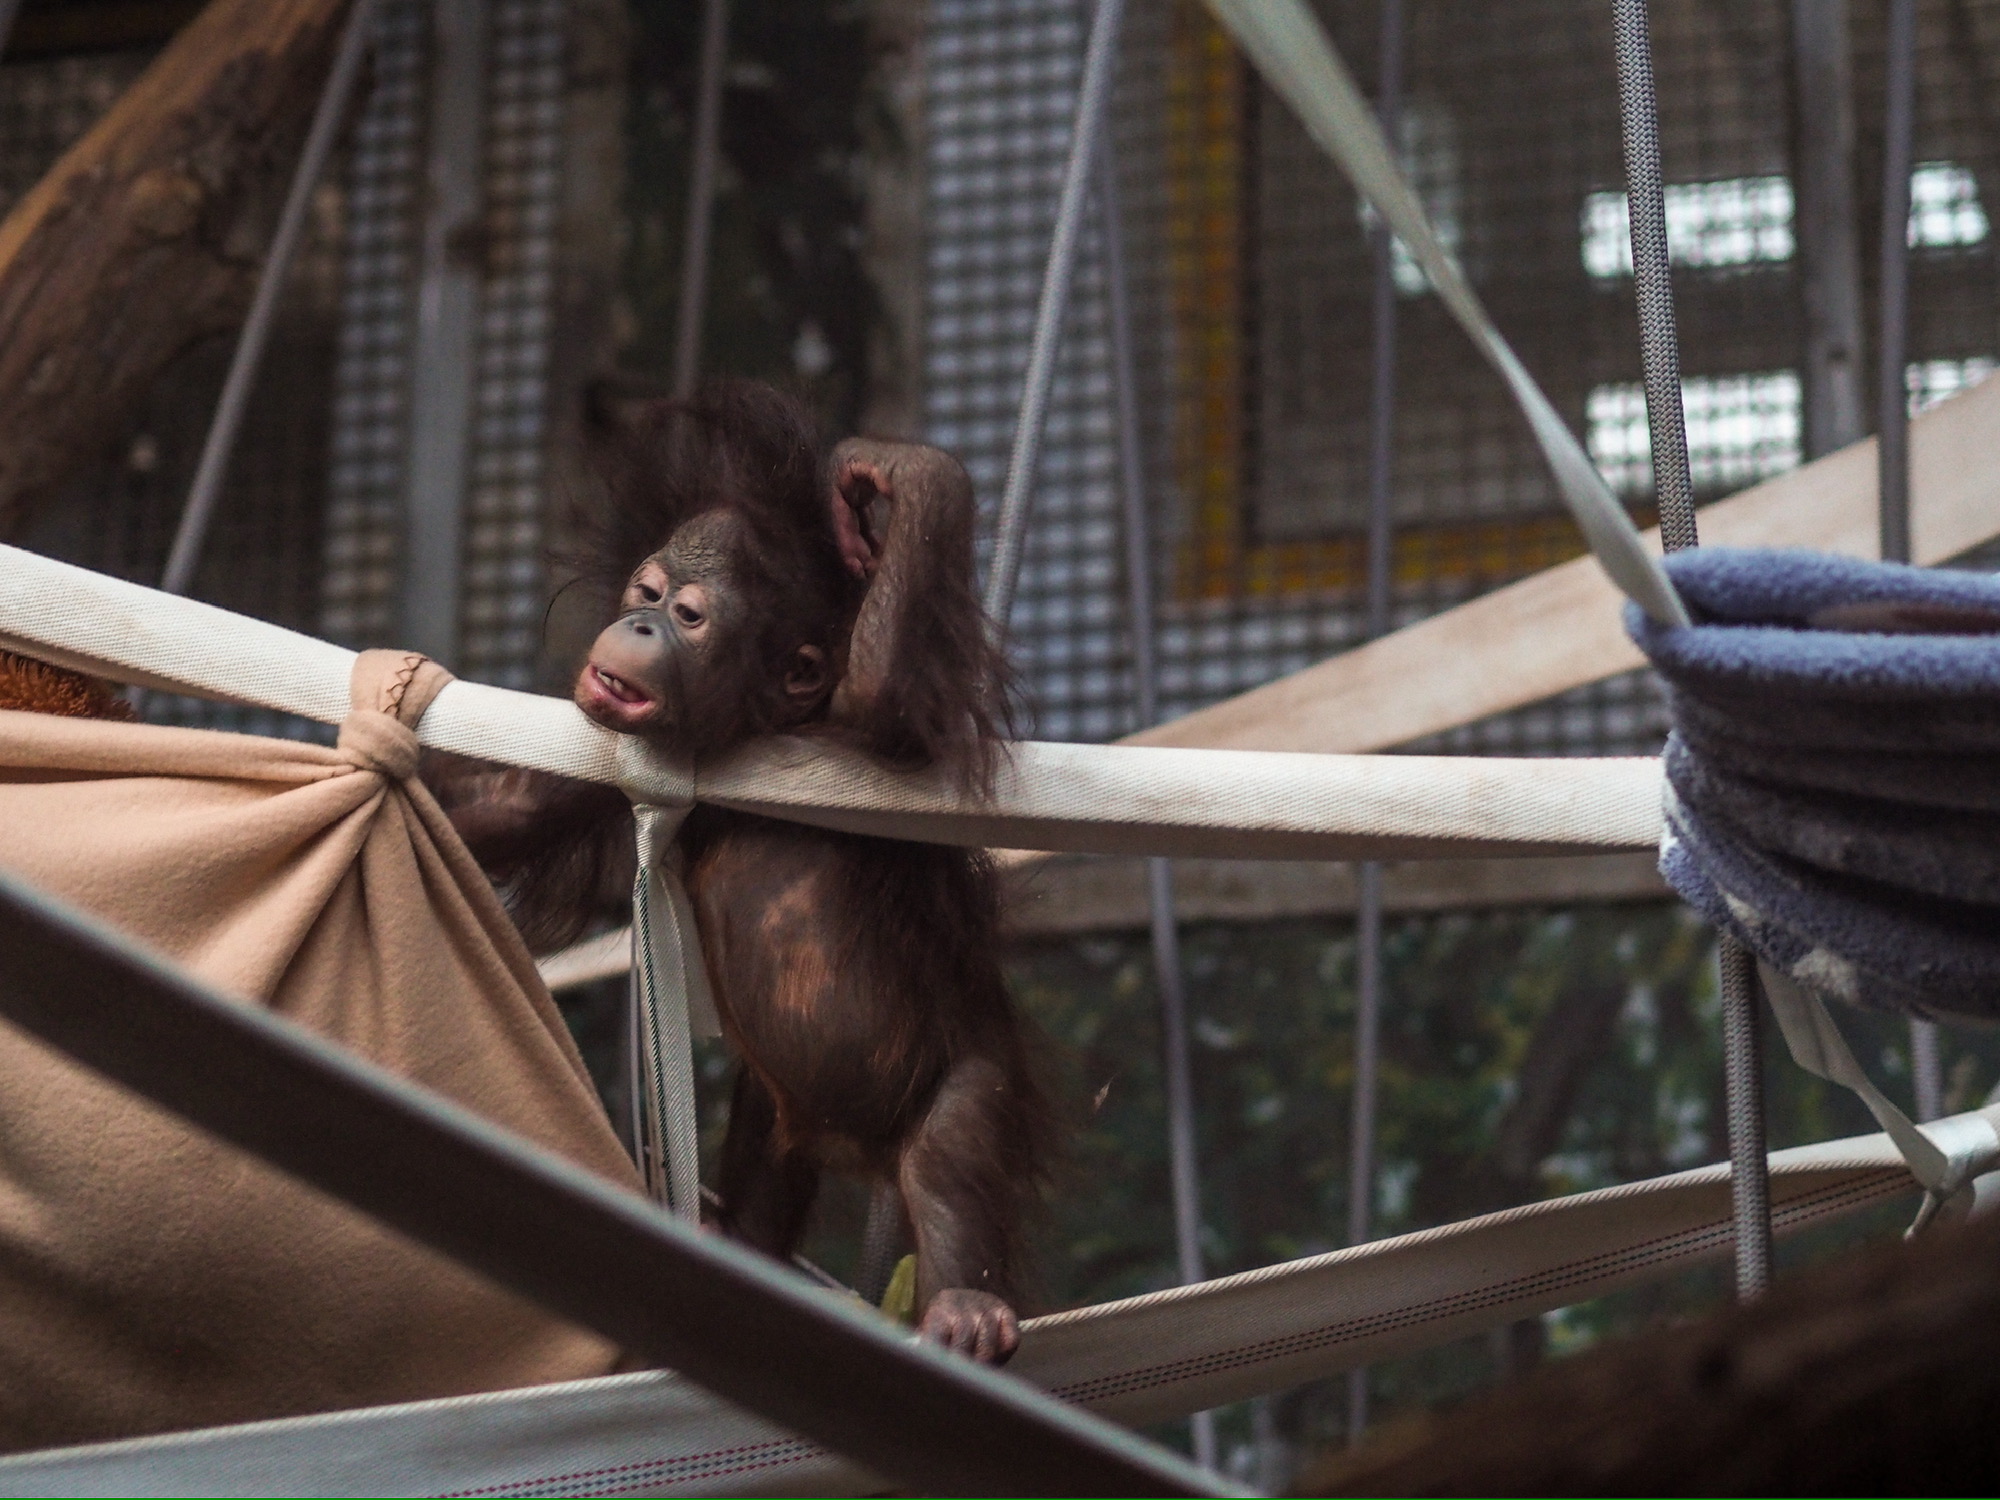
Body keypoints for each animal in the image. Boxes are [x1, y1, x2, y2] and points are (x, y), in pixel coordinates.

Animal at [433, 381, 1051, 1363]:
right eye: (645, 590)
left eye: (689, 616)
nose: (637, 622)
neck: (735, 743)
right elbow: (511, 805)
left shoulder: (850, 737)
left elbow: (884, 686)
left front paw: (896, 473)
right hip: (781, 1116)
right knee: (769, 1155)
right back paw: (737, 1246)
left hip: (972, 1068)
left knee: (954, 1149)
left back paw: (964, 1306)